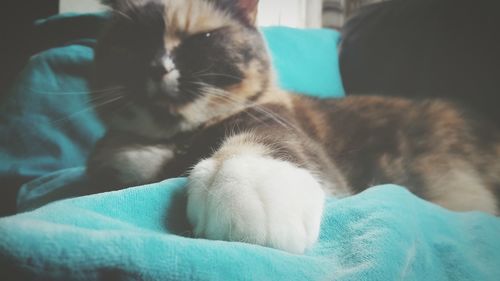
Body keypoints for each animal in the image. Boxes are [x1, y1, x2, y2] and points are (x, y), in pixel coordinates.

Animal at [87, 0, 500, 254]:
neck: (178, 142)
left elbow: (263, 141)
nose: (158, 67)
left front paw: (246, 186)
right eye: (131, 44)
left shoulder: (276, 122)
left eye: (201, 39)